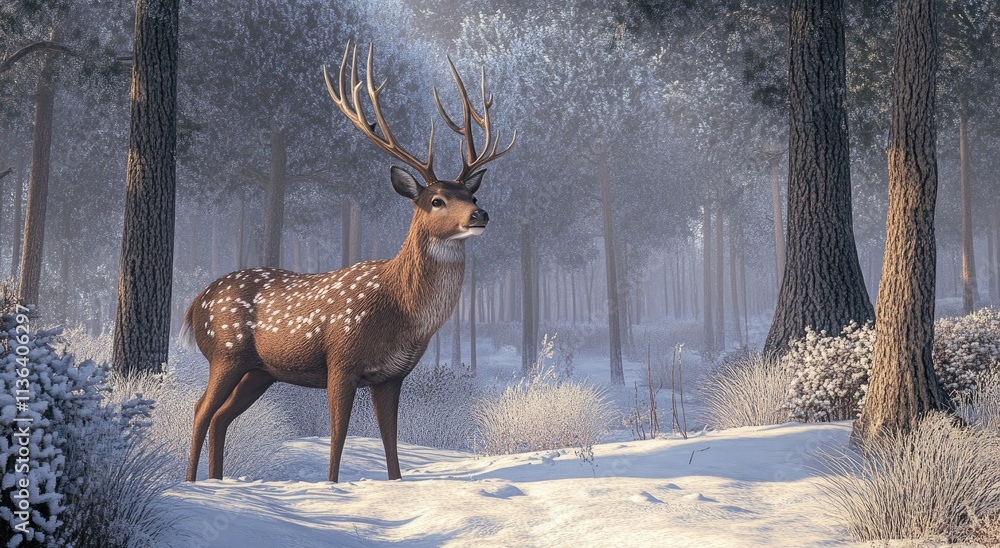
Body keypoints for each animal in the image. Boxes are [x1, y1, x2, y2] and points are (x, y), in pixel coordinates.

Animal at [180, 42, 515, 483]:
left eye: (472, 195)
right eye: (436, 200)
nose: (481, 214)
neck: (402, 313)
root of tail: (192, 305)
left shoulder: (392, 375)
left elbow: (391, 440)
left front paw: (394, 483)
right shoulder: (341, 359)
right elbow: (338, 434)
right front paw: (332, 485)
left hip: (260, 371)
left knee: (221, 417)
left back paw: (217, 481)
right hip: (226, 353)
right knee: (201, 410)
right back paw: (189, 483)